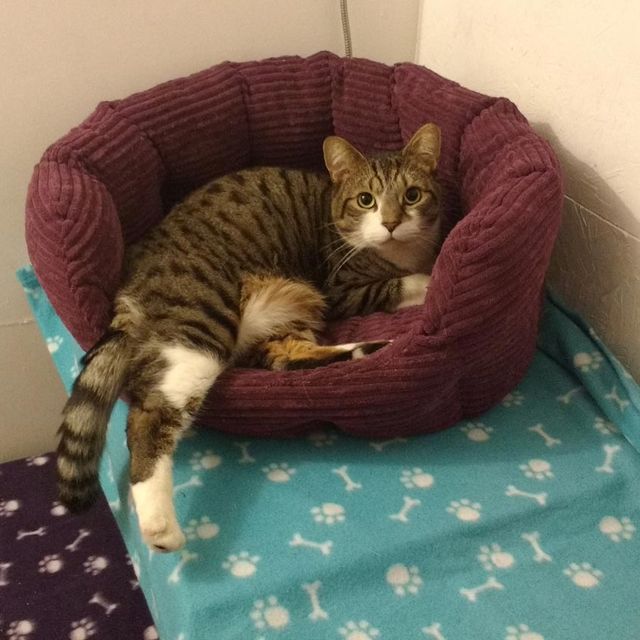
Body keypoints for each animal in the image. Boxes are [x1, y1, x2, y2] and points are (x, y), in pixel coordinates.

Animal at [56, 124, 440, 552]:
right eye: (366, 200)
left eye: (412, 195)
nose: (390, 223)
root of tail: (129, 282)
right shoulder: (341, 289)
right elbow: (402, 284)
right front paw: (428, 279)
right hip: (201, 325)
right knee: (150, 415)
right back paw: (160, 527)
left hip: (287, 312)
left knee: (285, 359)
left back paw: (371, 350)